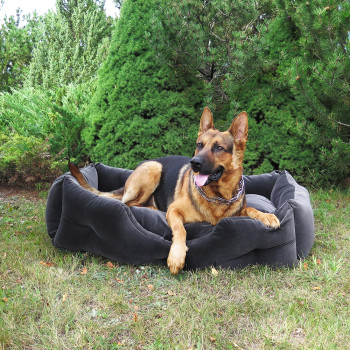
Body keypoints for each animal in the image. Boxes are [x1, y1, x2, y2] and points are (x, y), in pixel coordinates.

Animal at [69, 106, 280, 274]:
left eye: (218, 148)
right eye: (199, 145)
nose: (194, 163)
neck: (218, 195)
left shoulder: (238, 211)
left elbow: (251, 209)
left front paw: (267, 216)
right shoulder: (174, 211)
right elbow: (181, 229)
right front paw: (177, 256)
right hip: (153, 169)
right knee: (128, 203)